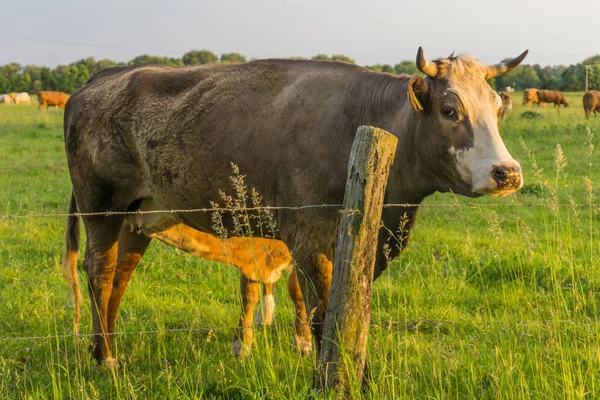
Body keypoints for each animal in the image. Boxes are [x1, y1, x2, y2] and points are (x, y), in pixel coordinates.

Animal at [63, 47, 528, 366]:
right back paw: (105, 360)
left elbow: (350, 310)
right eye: (449, 109)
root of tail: (100, 79)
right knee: (100, 273)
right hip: (101, 207)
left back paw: (104, 348)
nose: (507, 172)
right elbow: (323, 316)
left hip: (138, 216)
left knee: (120, 279)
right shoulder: (309, 240)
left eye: (497, 108)